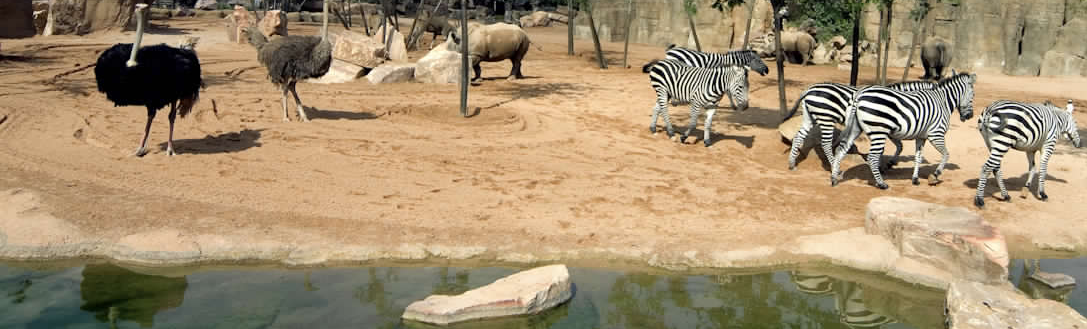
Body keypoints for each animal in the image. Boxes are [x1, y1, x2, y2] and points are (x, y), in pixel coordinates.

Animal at [786, 79, 939, 183]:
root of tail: (809, 89)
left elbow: (897, 147)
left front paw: (885, 165)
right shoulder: (885, 127)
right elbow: (897, 146)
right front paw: (884, 165)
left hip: (810, 116)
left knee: (799, 136)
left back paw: (792, 164)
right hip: (826, 117)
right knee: (825, 144)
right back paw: (834, 167)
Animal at [834, 73, 982, 190]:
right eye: (973, 95)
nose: (970, 116)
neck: (943, 101)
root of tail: (860, 94)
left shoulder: (921, 137)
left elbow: (918, 157)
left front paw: (915, 179)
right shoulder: (936, 134)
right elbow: (946, 155)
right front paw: (935, 176)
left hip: (856, 128)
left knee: (841, 149)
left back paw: (834, 178)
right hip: (879, 132)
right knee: (872, 157)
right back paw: (881, 183)